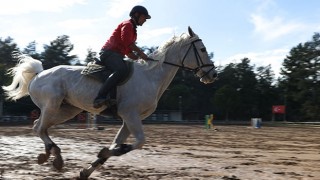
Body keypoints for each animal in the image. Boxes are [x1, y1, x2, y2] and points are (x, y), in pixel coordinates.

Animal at [1, 26, 218, 177]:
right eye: (202, 49)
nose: (213, 75)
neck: (151, 76)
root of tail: (38, 74)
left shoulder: (130, 120)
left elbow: (117, 145)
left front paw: (88, 169)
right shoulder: (130, 115)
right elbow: (136, 143)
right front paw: (105, 153)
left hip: (66, 110)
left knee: (39, 127)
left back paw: (52, 155)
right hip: (52, 106)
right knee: (39, 127)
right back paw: (54, 155)